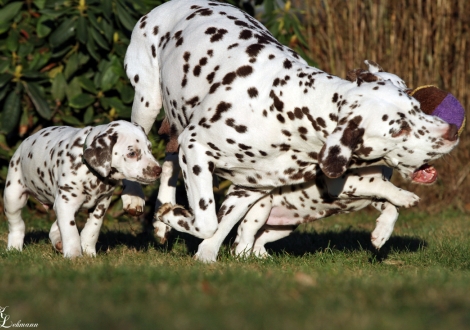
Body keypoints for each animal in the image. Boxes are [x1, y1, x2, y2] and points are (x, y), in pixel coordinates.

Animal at [3, 121, 162, 258]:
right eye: (132, 153)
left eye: (150, 148)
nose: (158, 170)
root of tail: (26, 141)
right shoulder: (65, 204)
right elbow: (71, 231)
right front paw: (74, 255)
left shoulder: (101, 204)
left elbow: (92, 229)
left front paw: (88, 252)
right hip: (13, 197)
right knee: (17, 225)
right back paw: (14, 247)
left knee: (54, 227)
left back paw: (58, 242)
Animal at [125, 0, 458, 262]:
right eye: (399, 127)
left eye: (417, 107)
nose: (452, 131)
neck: (290, 109)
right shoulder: (196, 147)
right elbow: (207, 222)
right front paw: (173, 215)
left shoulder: (252, 186)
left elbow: (220, 225)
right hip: (148, 103)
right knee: (138, 137)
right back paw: (135, 200)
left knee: (169, 163)